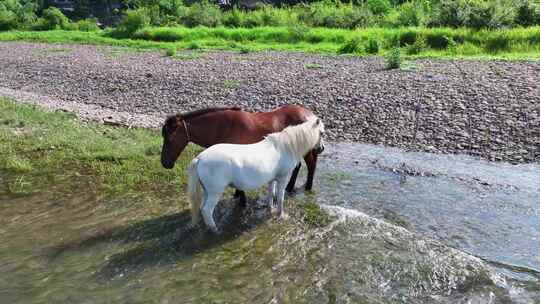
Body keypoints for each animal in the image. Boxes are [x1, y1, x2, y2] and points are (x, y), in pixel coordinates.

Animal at [160, 104, 320, 202]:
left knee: (311, 165)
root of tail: (309, 115)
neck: (223, 127)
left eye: (169, 139)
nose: (165, 163)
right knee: (299, 166)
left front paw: (241, 199)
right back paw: (290, 187)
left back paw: (307, 187)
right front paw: (238, 196)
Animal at [188, 117, 324, 232]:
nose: (321, 149)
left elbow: (271, 194)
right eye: (322, 133)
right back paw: (215, 229)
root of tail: (200, 158)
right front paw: (281, 215)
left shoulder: (272, 179)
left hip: (207, 191)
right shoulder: (282, 178)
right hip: (215, 192)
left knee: (202, 208)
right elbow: (280, 198)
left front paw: (270, 209)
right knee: (207, 210)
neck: (284, 147)